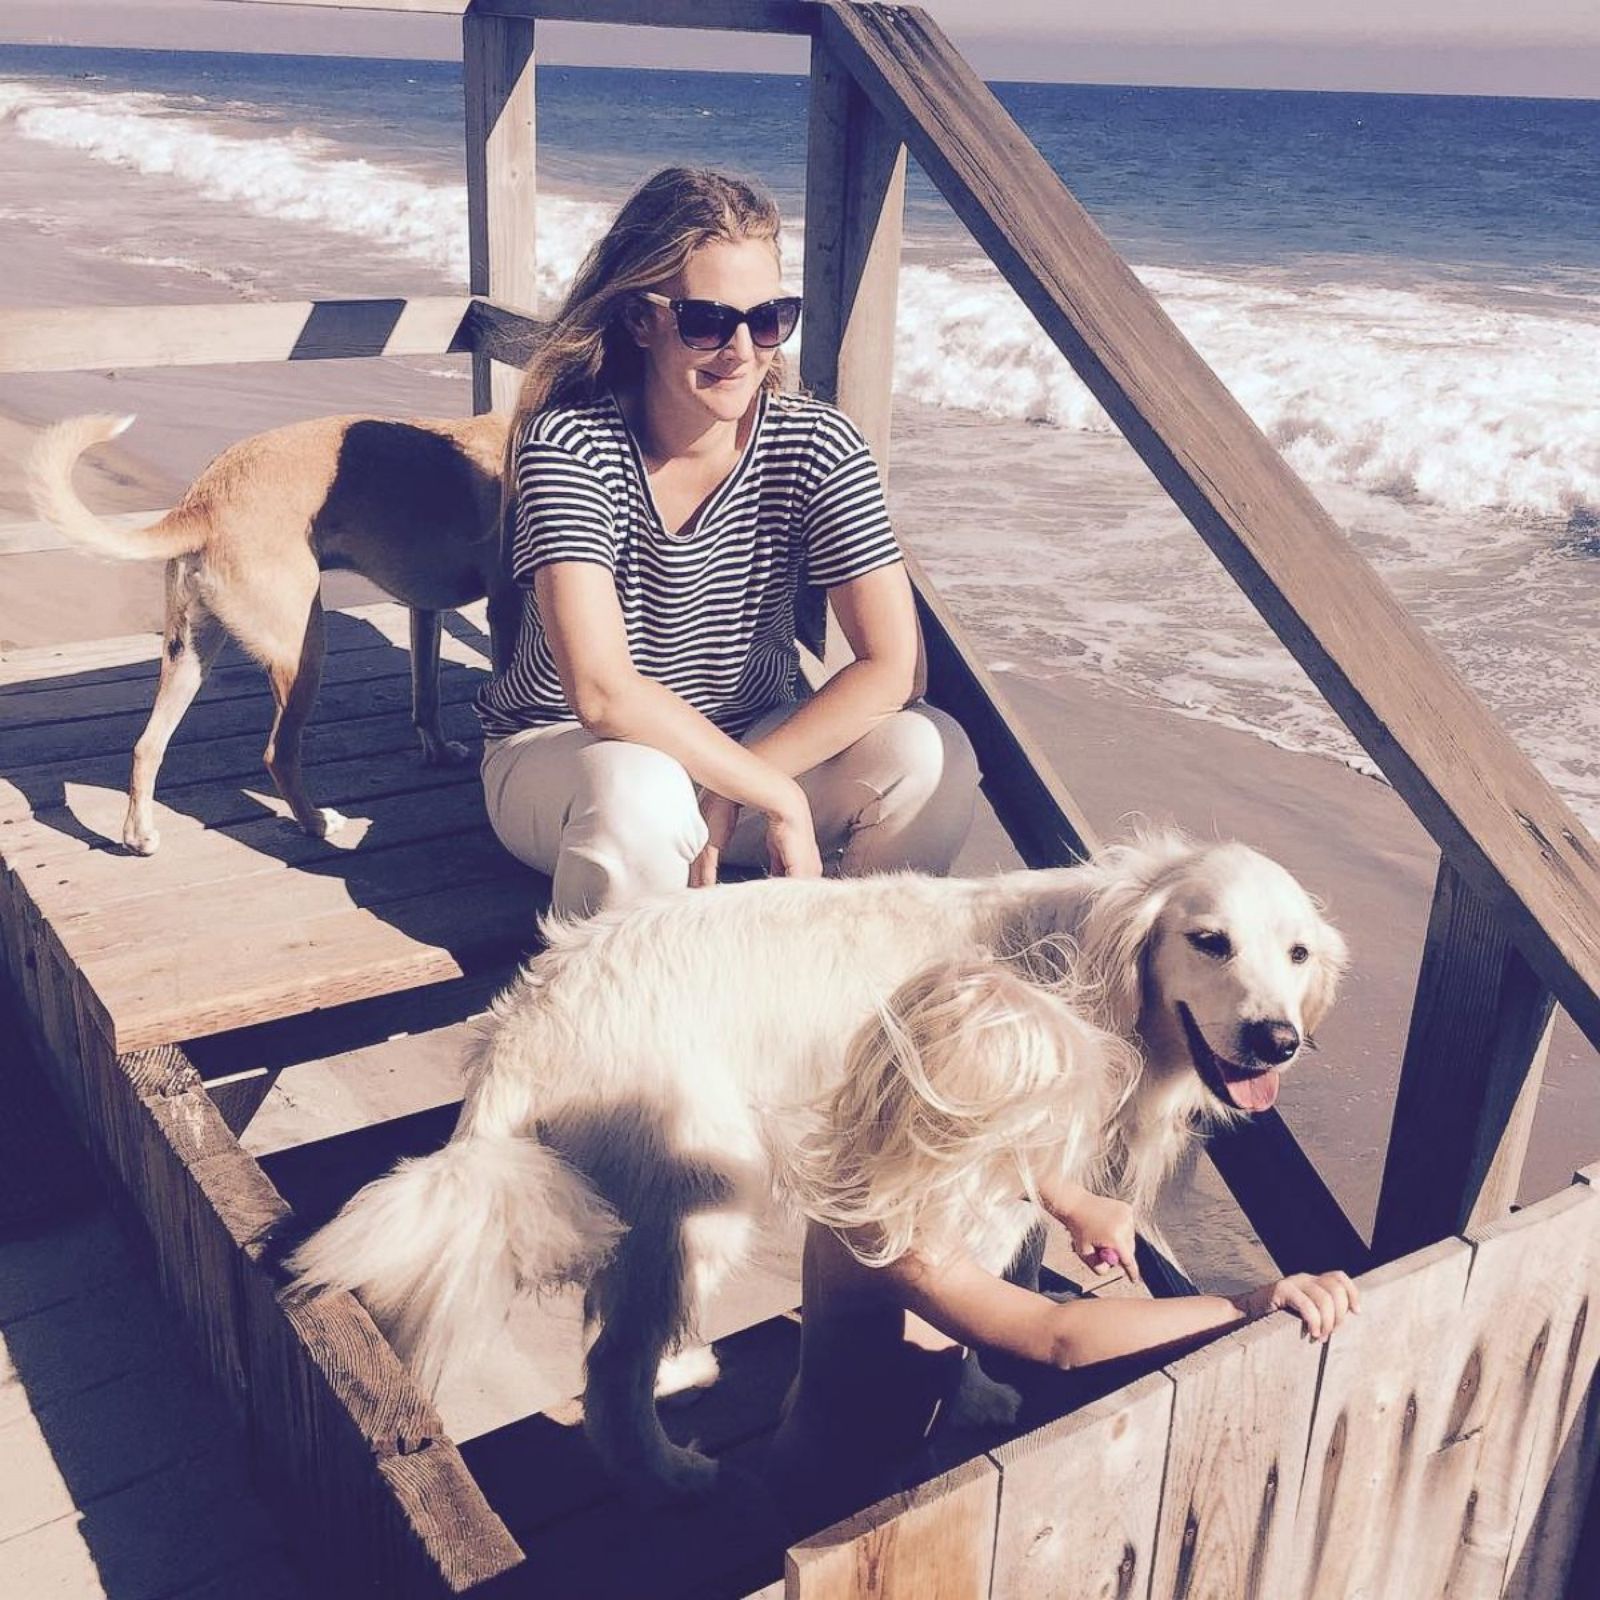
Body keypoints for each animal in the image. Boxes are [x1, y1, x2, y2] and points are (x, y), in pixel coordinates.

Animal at [29, 419, 512, 857]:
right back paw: (315, 823)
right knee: (278, 753)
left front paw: (440, 752)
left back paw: (139, 835)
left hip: (190, 653)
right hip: (305, 652)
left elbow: (426, 696)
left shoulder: (424, 610)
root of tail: (202, 503)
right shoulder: (504, 611)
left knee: (147, 745)